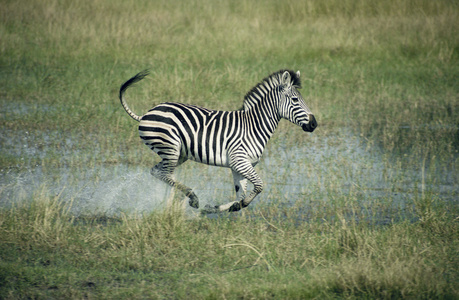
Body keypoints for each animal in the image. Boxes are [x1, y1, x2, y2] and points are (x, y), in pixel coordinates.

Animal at [120, 69, 318, 212]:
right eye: (295, 100)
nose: (314, 124)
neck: (254, 126)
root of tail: (146, 114)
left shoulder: (240, 166)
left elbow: (241, 195)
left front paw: (216, 208)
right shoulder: (240, 161)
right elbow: (259, 186)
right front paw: (231, 206)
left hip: (178, 154)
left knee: (157, 172)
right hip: (170, 148)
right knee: (164, 174)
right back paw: (192, 198)